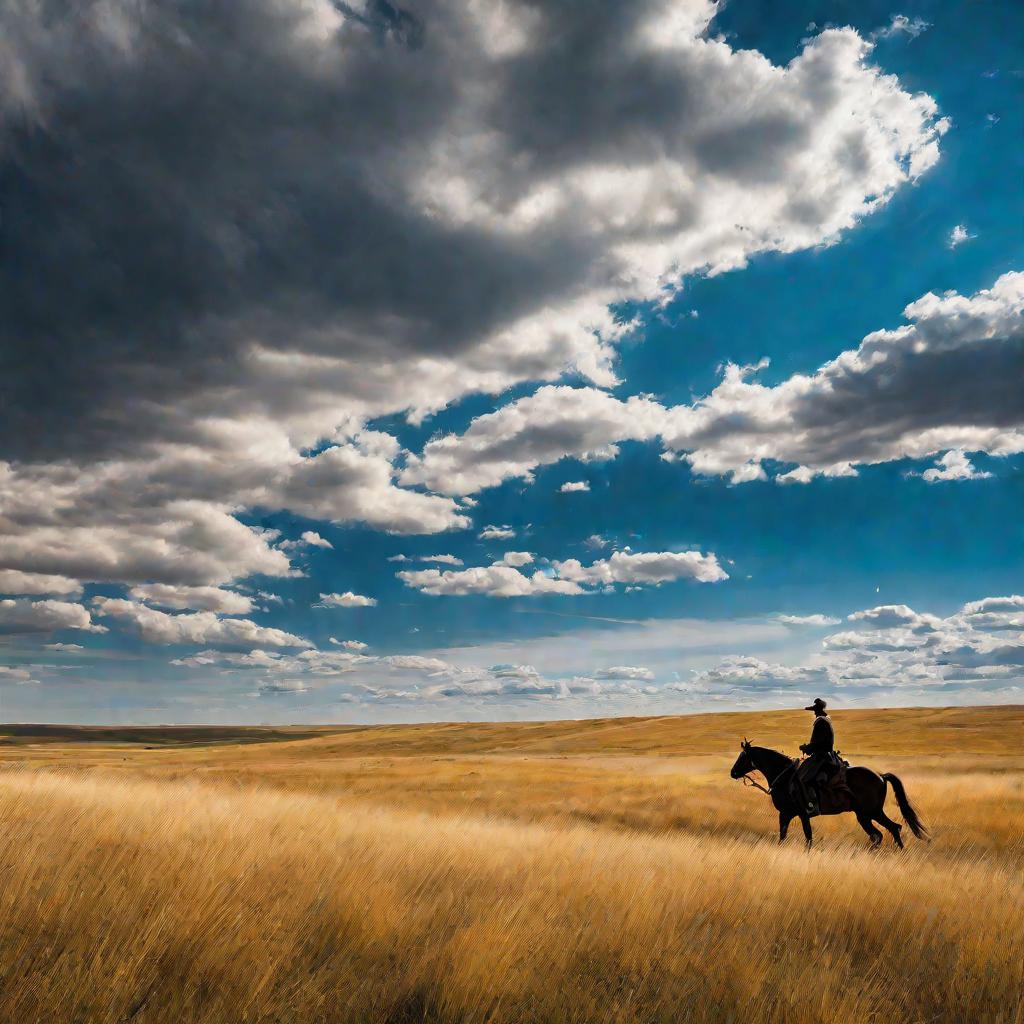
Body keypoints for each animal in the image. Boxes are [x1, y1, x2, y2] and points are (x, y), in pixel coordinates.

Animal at [729, 741, 929, 851]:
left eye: (742, 757)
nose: (733, 772)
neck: (785, 776)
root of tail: (880, 776)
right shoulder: (787, 814)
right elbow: (783, 836)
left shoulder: (800, 813)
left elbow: (807, 837)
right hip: (865, 815)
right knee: (880, 834)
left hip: (870, 813)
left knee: (891, 829)